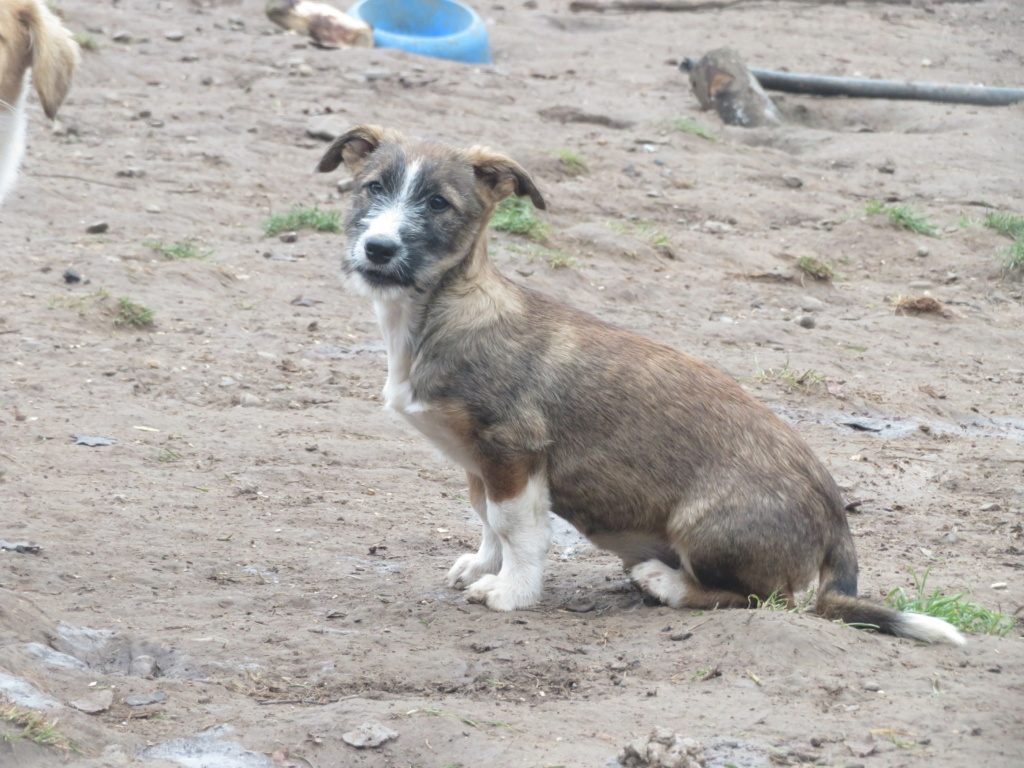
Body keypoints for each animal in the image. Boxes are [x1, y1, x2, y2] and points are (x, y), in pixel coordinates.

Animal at [315, 124, 962, 643]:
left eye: (438, 203)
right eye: (372, 188)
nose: (378, 249)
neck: (440, 313)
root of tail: (836, 520)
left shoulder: (513, 452)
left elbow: (517, 529)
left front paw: (511, 592)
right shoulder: (483, 463)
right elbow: (487, 519)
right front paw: (483, 568)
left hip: (702, 526)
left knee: (760, 597)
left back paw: (663, 581)